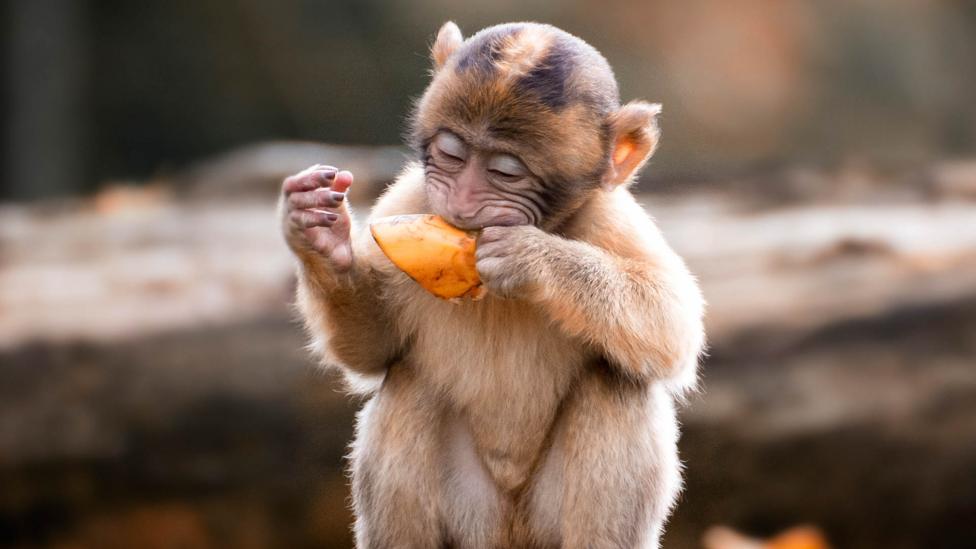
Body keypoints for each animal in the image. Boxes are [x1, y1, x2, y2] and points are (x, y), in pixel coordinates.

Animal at [279, 22, 705, 549]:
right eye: (451, 154)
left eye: (506, 171)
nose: (462, 204)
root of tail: (508, 532)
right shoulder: (410, 197)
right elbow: (376, 348)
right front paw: (321, 237)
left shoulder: (610, 218)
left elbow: (673, 327)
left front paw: (530, 257)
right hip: (473, 516)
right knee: (410, 385)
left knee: (617, 382)